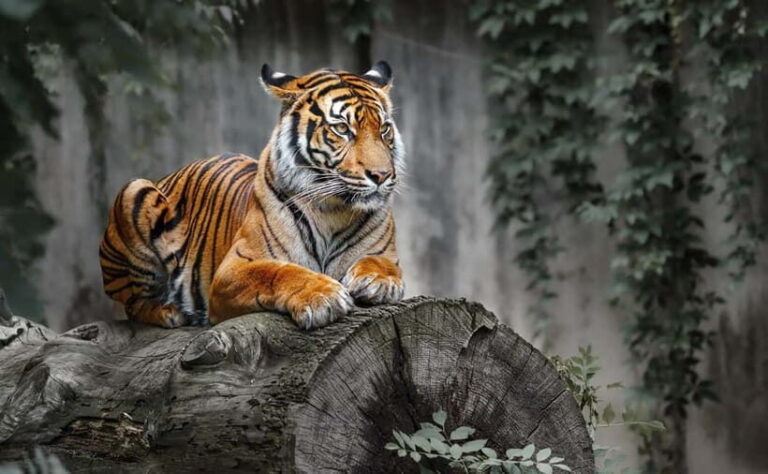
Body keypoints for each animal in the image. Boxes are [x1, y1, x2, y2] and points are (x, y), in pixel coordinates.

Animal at [99, 61, 404, 330]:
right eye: (342, 128)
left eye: (384, 129)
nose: (381, 175)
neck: (333, 211)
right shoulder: (232, 270)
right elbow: (278, 272)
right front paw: (322, 296)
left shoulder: (384, 252)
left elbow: (383, 263)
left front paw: (379, 281)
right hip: (135, 191)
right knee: (132, 304)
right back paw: (168, 311)